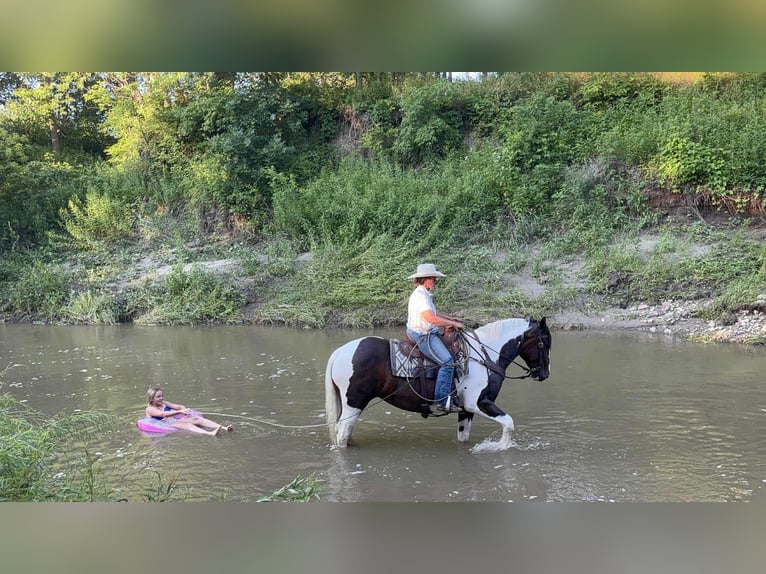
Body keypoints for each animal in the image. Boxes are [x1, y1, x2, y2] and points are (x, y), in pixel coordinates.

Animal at [324, 317, 551, 452]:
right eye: (544, 342)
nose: (544, 374)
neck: (484, 356)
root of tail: (340, 352)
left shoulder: (465, 410)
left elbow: (463, 437)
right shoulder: (478, 403)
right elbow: (509, 423)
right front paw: (499, 447)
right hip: (354, 403)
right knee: (342, 434)